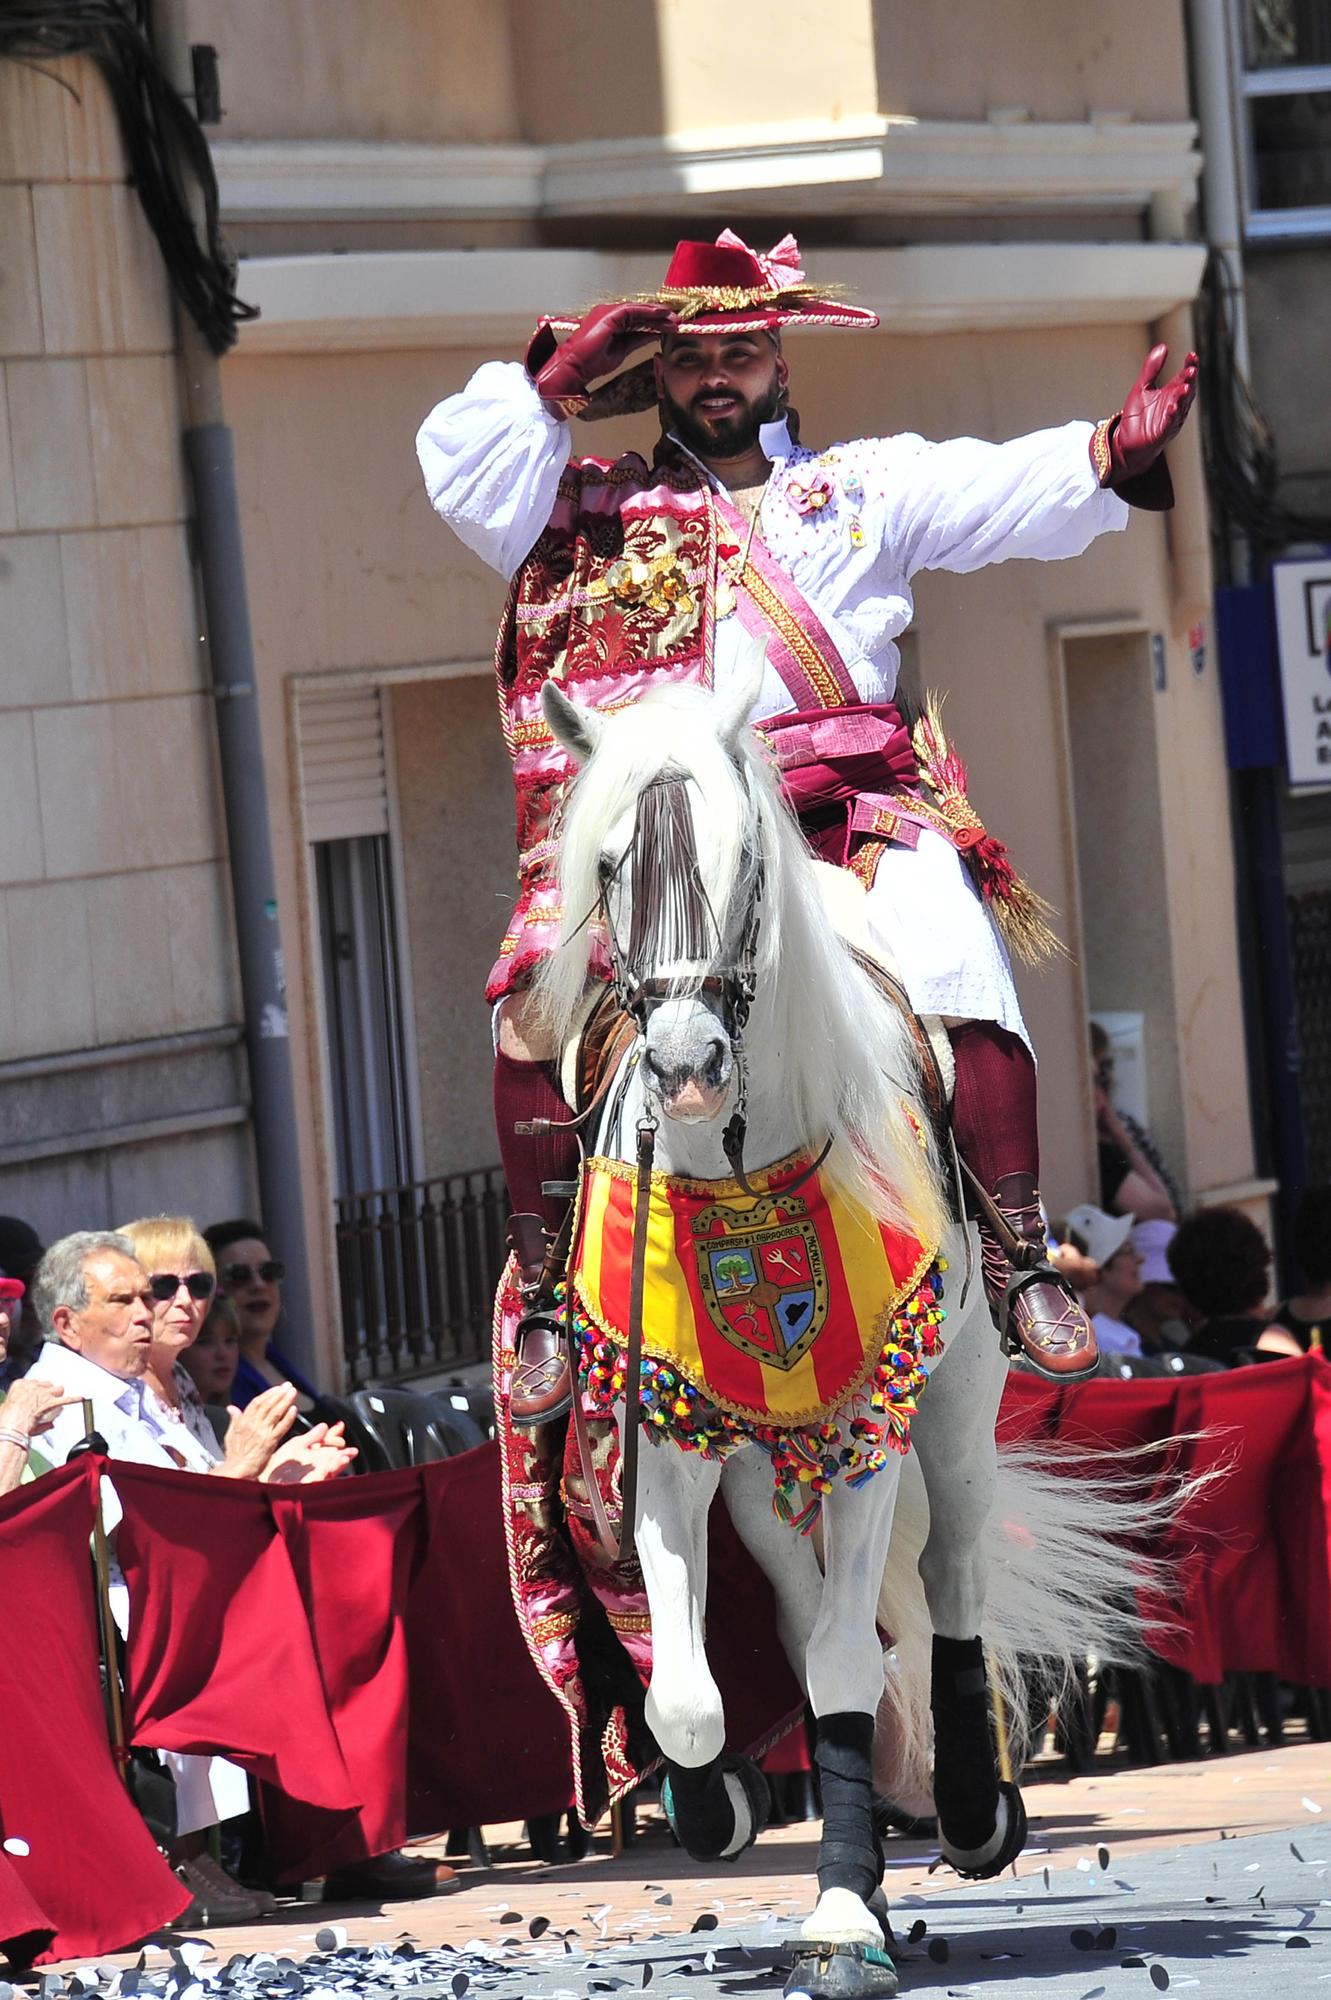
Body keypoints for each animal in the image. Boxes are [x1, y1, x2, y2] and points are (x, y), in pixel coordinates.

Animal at [535, 660, 1159, 2000]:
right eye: (608, 864)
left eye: (736, 859)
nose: (684, 1064)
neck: (739, 1159)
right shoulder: (671, 1434)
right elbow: (691, 1694)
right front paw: (714, 1801)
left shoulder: (874, 1418)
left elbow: (837, 1664)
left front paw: (838, 1912)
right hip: (767, 1466)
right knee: (795, 1591)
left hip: (958, 1401)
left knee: (948, 1574)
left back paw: (969, 1803)